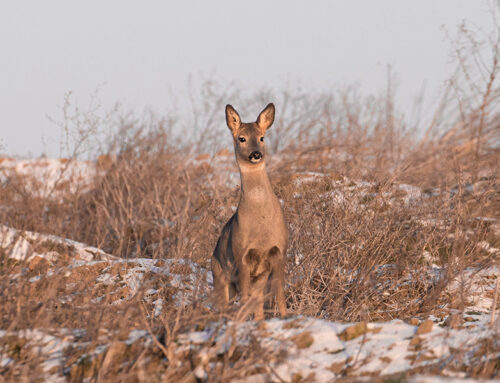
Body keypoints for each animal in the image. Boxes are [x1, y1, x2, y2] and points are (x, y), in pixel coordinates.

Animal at [212, 103, 290, 320]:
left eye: (262, 137)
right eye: (242, 138)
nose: (256, 153)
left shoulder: (280, 251)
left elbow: (280, 296)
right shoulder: (241, 254)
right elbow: (246, 299)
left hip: (258, 278)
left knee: (257, 303)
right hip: (220, 278)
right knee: (224, 306)